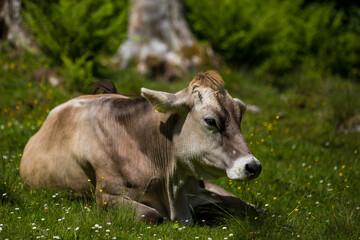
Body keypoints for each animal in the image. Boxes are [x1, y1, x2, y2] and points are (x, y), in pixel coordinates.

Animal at [19, 70, 262, 224]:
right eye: (211, 121)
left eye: (239, 117)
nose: (253, 166)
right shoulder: (107, 195)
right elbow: (151, 215)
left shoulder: (199, 186)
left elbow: (253, 209)